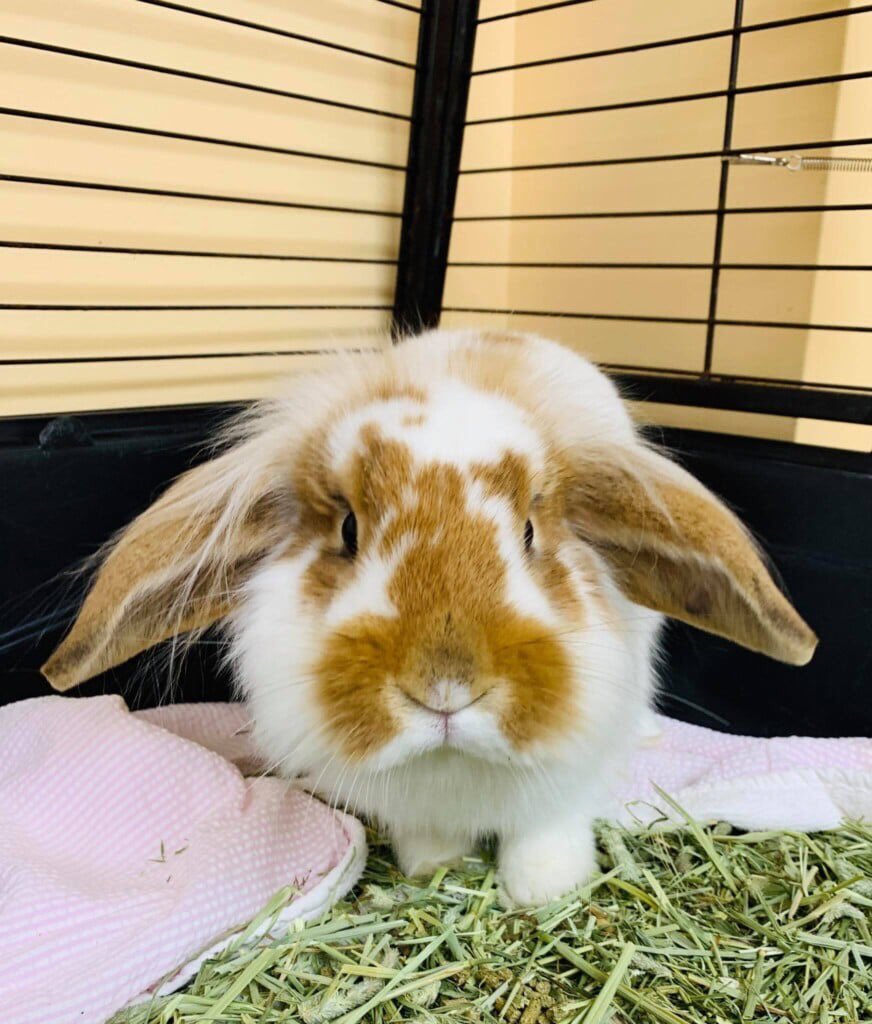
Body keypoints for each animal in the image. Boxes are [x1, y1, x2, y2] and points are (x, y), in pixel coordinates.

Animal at [42, 328, 817, 906]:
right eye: (348, 530)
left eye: (531, 531)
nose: (445, 690)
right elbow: (430, 843)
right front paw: (433, 870)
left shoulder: (570, 776)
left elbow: (546, 835)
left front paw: (545, 893)